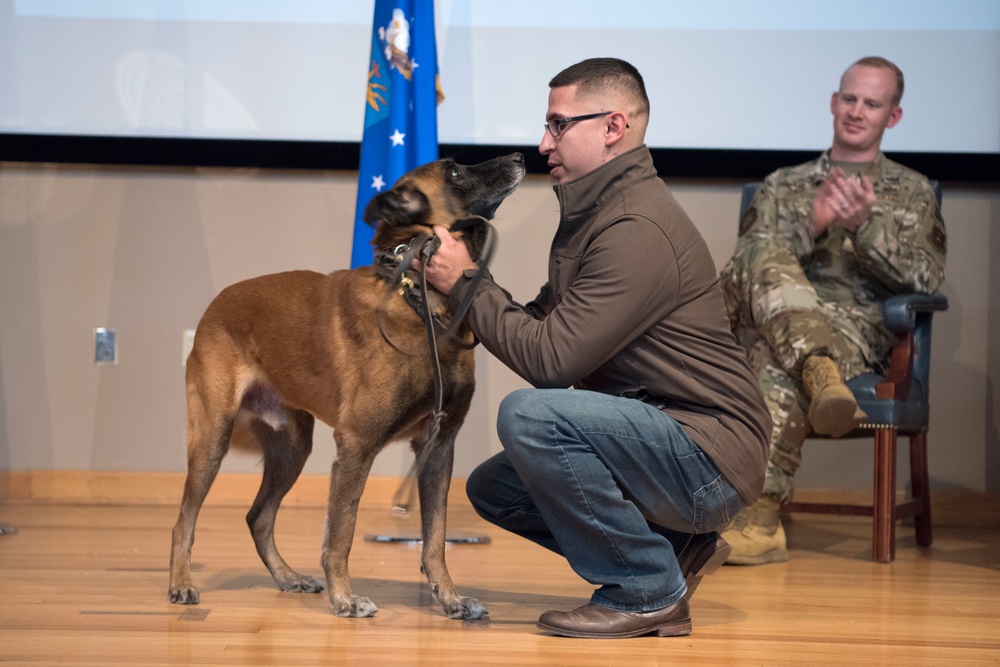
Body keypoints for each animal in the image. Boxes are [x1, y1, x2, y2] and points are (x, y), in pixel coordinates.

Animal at [168, 154, 528, 620]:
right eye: (453, 172)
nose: (520, 157)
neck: (422, 300)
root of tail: (215, 304)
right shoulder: (357, 446)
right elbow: (341, 532)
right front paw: (345, 598)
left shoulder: (437, 449)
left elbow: (435, 540)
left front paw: (449, 598)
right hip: (213, 439)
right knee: (185, 520)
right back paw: (180, 584)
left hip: (292, 449)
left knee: (258, 517)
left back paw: (288, 577)